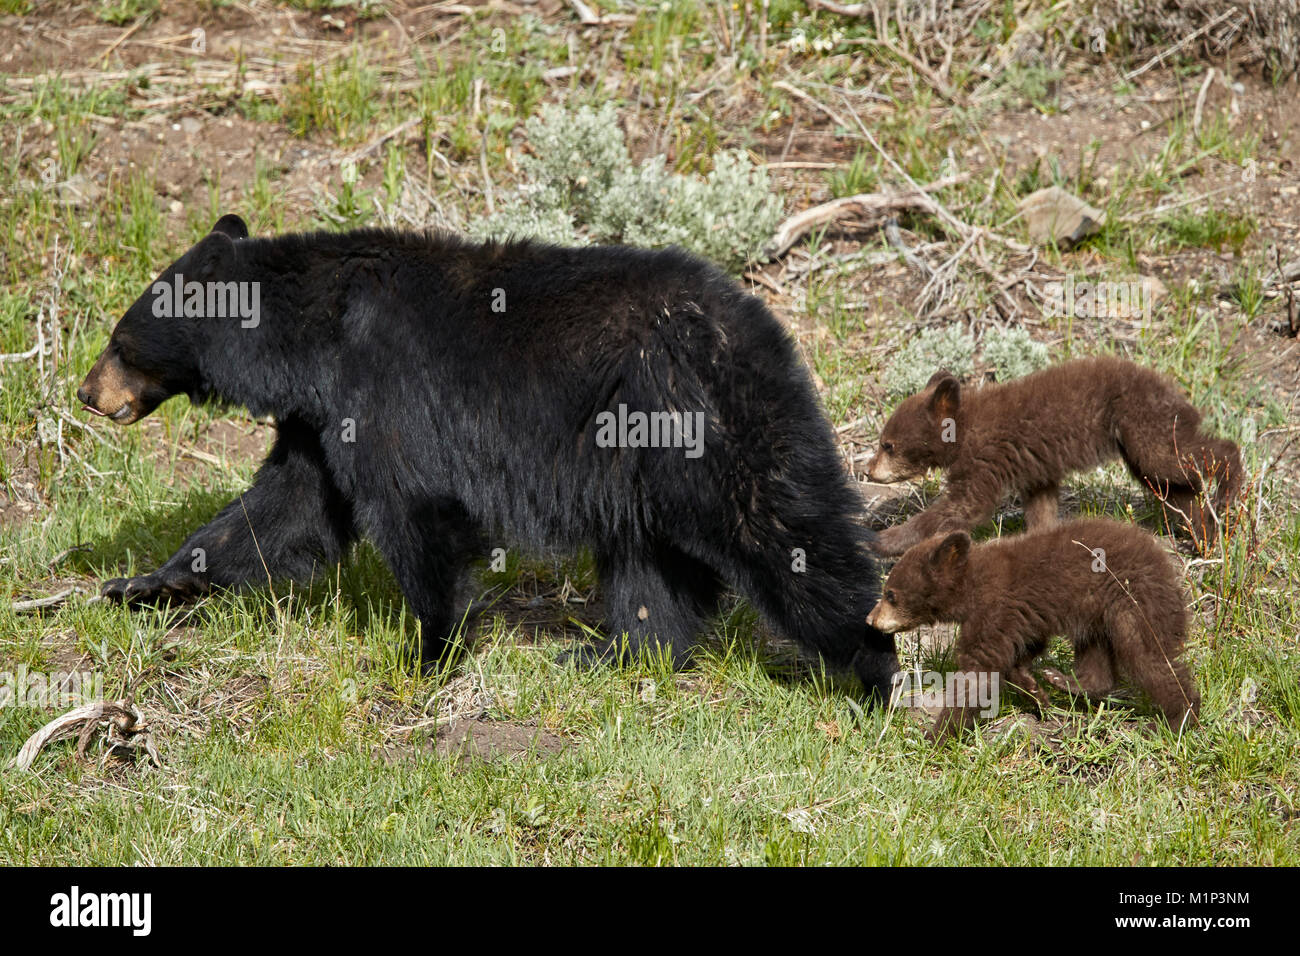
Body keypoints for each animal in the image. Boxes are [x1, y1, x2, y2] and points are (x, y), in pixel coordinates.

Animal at [76, 214, 899, 697]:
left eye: (119, 341)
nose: (86, 392)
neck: (313, 337)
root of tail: (758, 321)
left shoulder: (384, 385)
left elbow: (411, 509)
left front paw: (427, 653)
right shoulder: (323, 416)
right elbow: (284, 510)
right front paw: (146, 584)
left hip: (693, 420)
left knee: (783, 530)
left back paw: (876, 667)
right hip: (639, 462)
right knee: (651, 566)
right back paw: (613, 655)